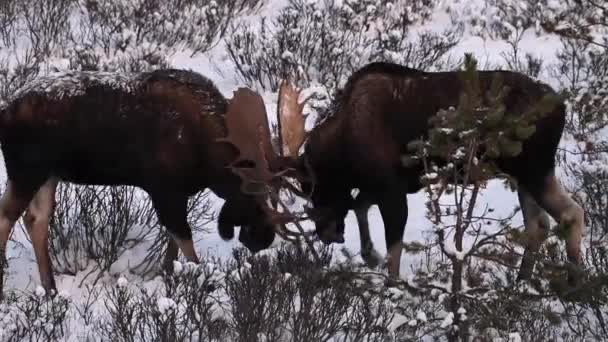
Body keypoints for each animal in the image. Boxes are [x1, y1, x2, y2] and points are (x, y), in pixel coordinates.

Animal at [0, 60, 584, 294]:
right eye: (257, 202)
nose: (258, 240)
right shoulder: (166, 190)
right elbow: (183, 247)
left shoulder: (388, 186)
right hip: (33, 170)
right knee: (17, 218)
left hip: (527, 167)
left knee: (556, 216)